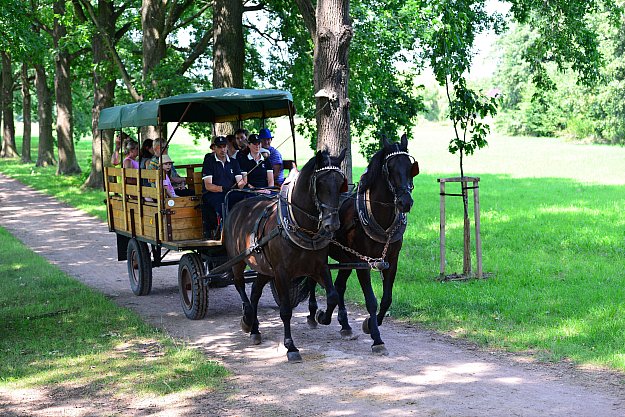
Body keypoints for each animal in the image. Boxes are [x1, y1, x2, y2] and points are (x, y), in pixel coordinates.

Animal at [221, 149, 348, 360]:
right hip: (237, 261)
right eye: (320, 183)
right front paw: (291, 346)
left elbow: (332, 296)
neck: (301, 226)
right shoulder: (281, 273)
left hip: (264, 267)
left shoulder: (319, 267)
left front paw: (322, 316)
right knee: (240, 285)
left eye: (340, 184)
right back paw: (247, 319)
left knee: (255, 292)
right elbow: (286, 310)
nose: (332, 224)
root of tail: (237, 206)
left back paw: (255, 329)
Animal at [312, 136, 420, 354]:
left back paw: (343, 324)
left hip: (345, 259)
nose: (405, 202)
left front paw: (371, 324)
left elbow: (386, 299)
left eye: (409, 167)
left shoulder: (391, 261)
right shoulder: (362, 263)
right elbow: (371, 300)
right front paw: (377, 339)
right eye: (390, 168)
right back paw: (314, 315)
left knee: (339, 287)